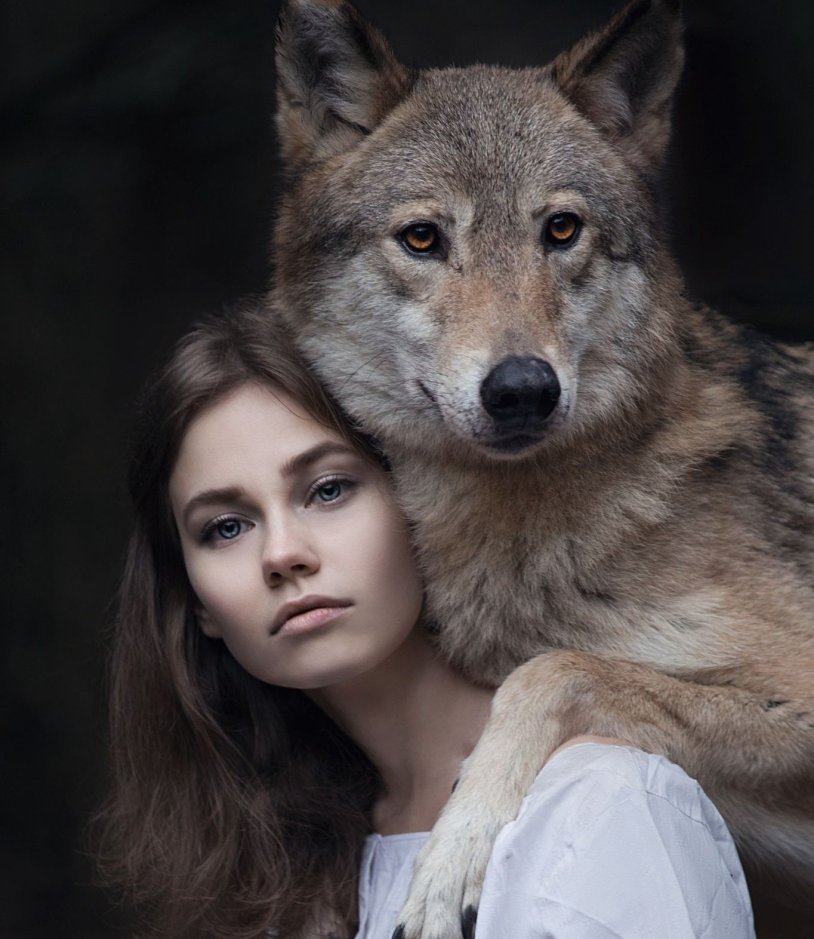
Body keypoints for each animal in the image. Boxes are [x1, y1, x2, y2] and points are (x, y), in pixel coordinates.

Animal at [270, 0, 814, 934]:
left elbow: (553, 670)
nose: (522, 388)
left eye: (560, 229)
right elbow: (562, 665)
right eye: (423, 237)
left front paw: (449, 858)